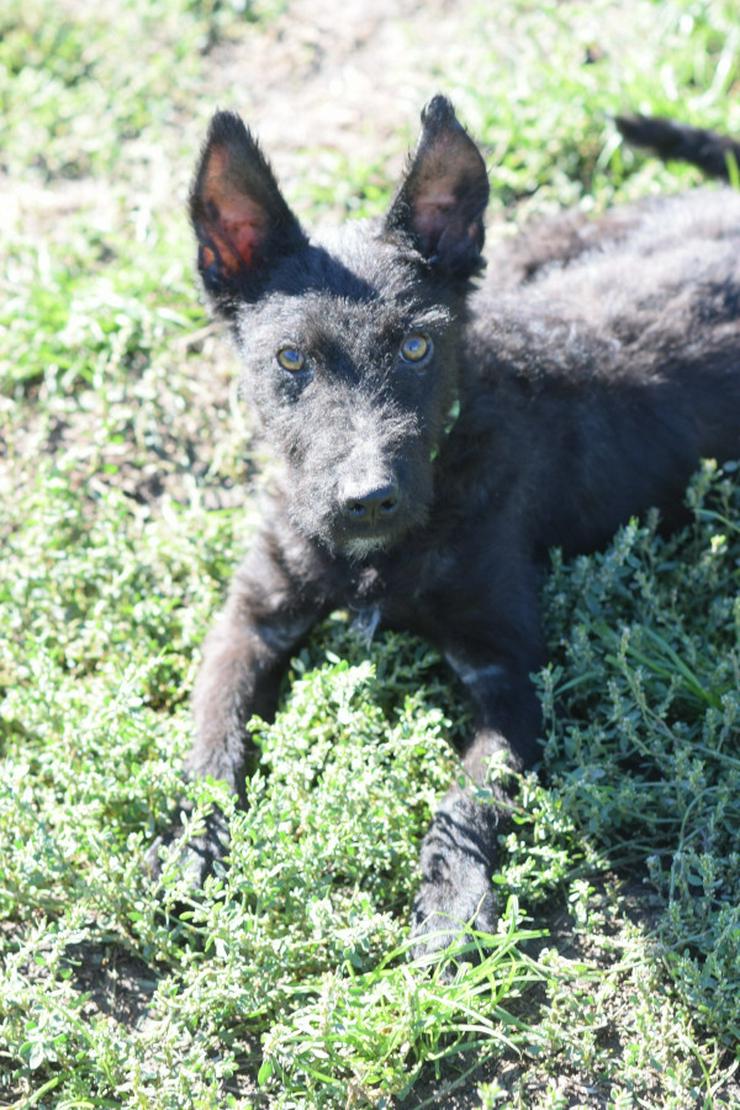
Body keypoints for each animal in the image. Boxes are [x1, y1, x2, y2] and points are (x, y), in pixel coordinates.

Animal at [157, 99, 740, 959]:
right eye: (290, 359)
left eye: (416, 345)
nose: (367, 500)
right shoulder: (252, 619)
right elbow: (211, 747)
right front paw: (190, 847)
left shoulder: (509, 674)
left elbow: (466, 802)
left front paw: (454, 902)